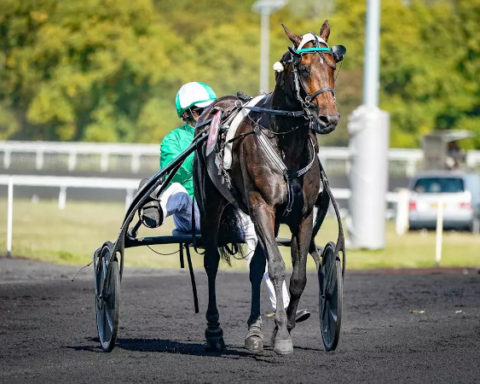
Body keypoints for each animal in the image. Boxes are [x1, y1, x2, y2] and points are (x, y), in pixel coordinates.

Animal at [193, 19, 346, 352]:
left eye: (332, 65)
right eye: (304, 68)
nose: (328, 118)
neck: (285, 144)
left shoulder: (302, 215)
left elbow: (298, 276)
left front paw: (281, 328)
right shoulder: (262, 206)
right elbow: (276, 267)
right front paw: (283, 338)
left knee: (254, 268)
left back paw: (254, 332)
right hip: (212, 204)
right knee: (211, 262)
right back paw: (214, 331)